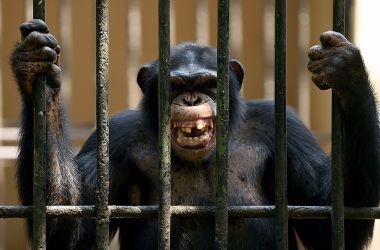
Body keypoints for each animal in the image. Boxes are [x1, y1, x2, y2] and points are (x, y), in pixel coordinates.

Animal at [10, 19, 378, 250]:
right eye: (175, 86)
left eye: (207, 83)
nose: (190, 99)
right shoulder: (115, 138)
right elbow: (67, 227)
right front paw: (37, 71)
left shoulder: (286, 130)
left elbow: (331, 220)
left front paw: (348, 72)